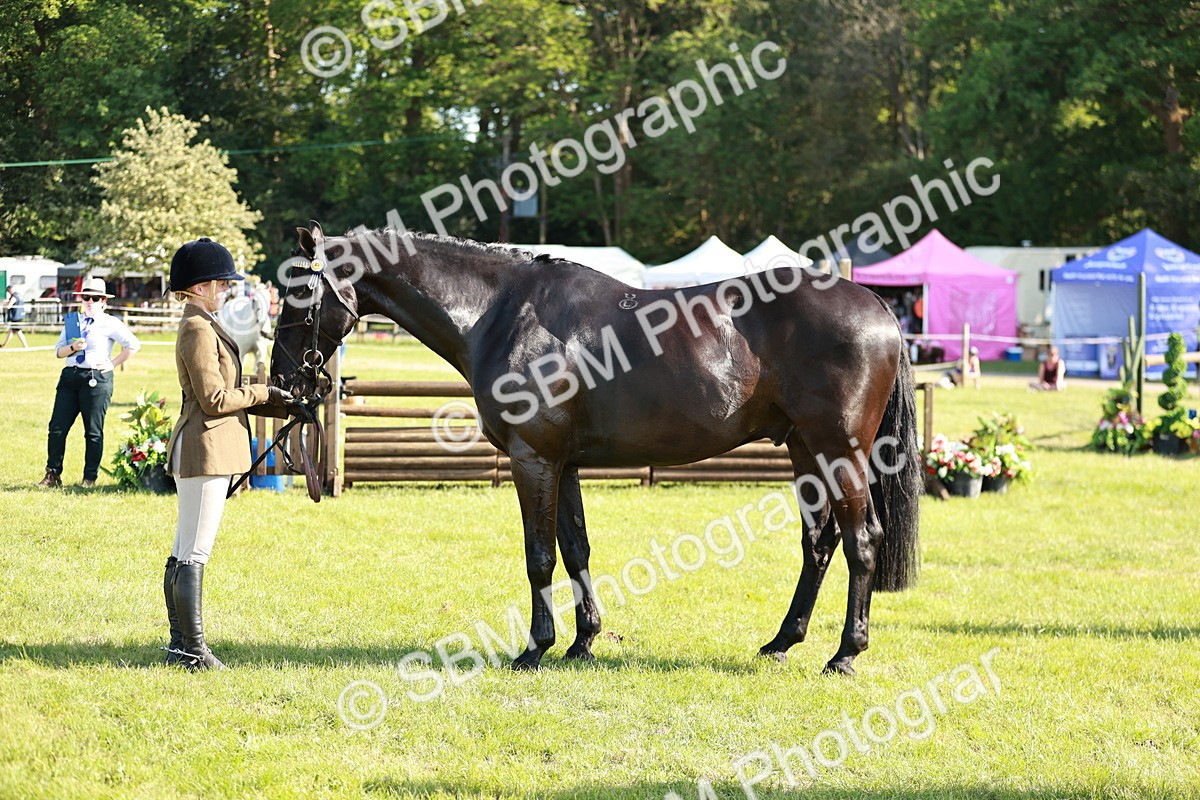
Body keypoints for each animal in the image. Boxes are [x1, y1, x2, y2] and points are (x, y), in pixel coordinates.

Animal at [271, 222, 921, 676]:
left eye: (299, 297)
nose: (283, 382)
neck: (499, 314)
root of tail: (879, 308)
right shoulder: (565, 464)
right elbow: (576, 548)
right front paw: (583, 642)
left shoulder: (533, 459)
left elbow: (539, 556)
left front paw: (535, 649)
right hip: (805, 452)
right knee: (820, 543)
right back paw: (782, 642)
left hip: (839, 452)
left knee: (862, 540)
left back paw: (845, 655)